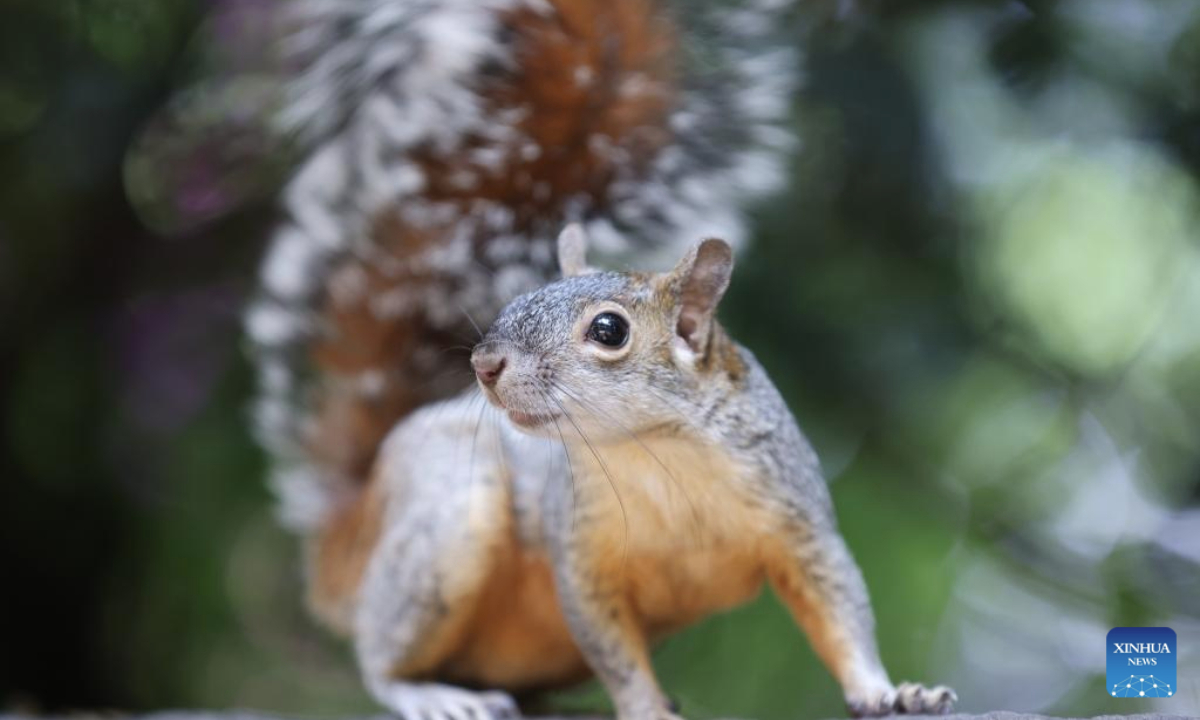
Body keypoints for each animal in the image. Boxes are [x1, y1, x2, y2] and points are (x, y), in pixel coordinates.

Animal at [240, 0, 957, 718]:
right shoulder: (582, 554)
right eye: (516, 297)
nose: (485, 366)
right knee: (380, 655)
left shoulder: (800, 523)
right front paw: (645, 706)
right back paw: (429, 694)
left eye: (609, 330)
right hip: (449, 523)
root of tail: (355, 519)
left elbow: (842, 613)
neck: (654, 453)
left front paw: (890, 691)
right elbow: (611, 649)